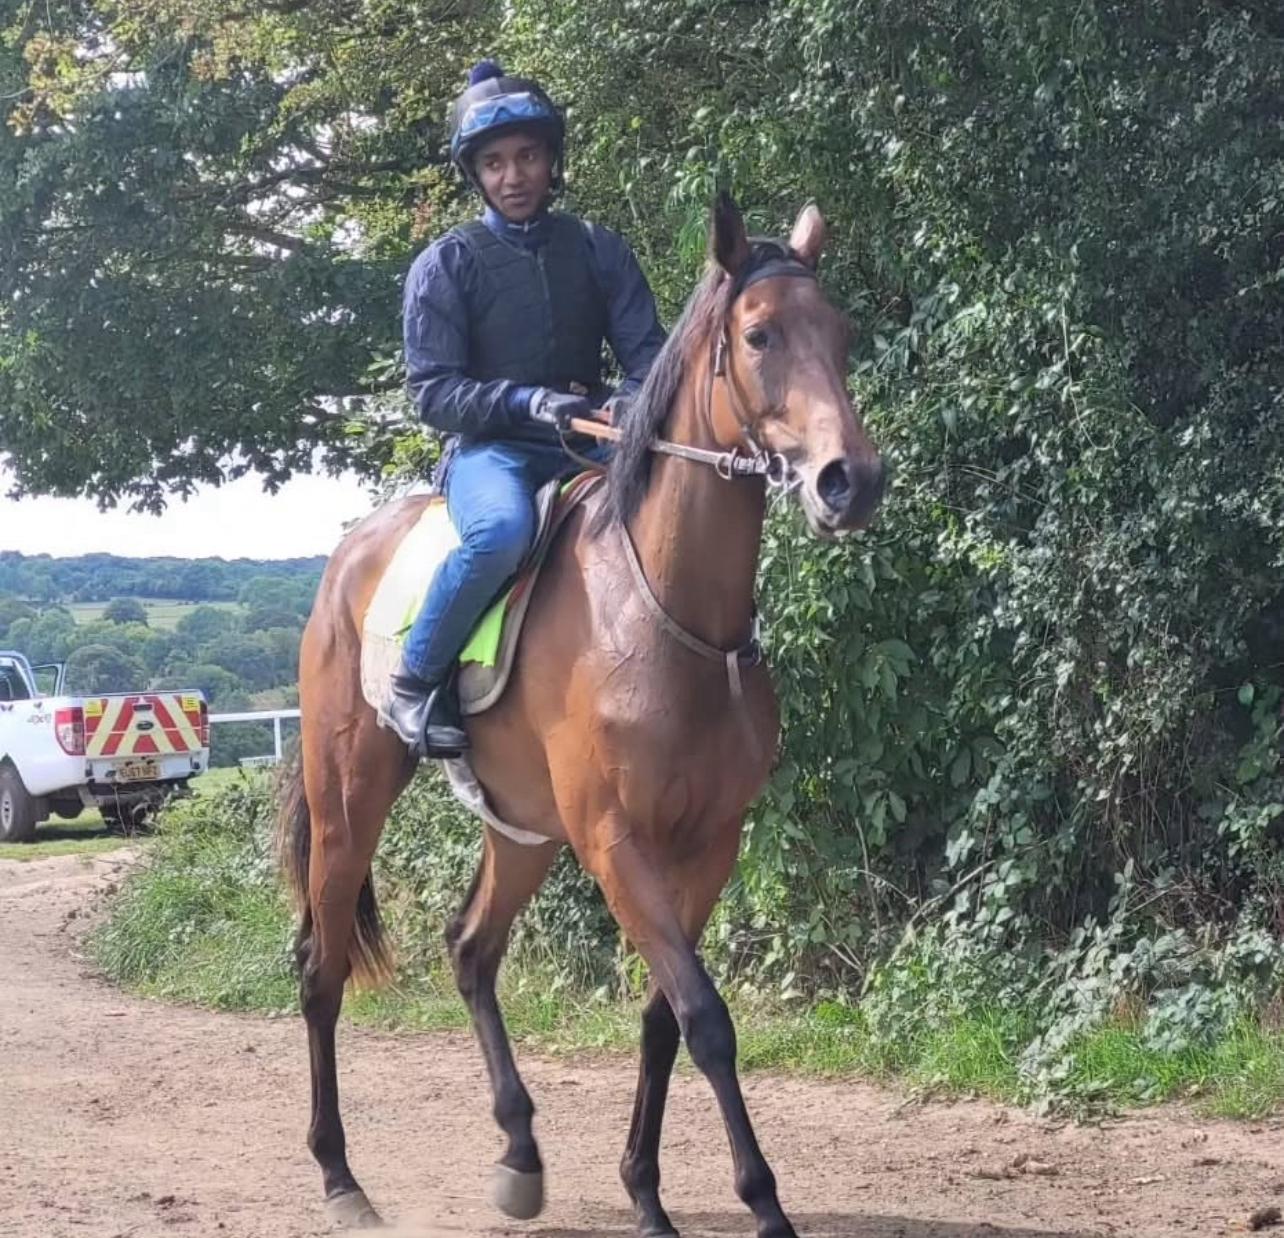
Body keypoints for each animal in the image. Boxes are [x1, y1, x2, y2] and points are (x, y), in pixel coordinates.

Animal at [278, 192, 885, 1237]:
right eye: (759, 335)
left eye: (840, 334)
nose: (851, 480)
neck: (669, 614)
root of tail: (350, 554)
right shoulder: (615, 842)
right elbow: (706, 1017)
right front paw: (760, 1202)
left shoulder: (707, 844)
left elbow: (664, 1016)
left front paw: (644, 1189)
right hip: (350, 795)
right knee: (323, 970)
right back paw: (340, 1176)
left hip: (523, 828)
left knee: (471, 949)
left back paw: (520, 1154)